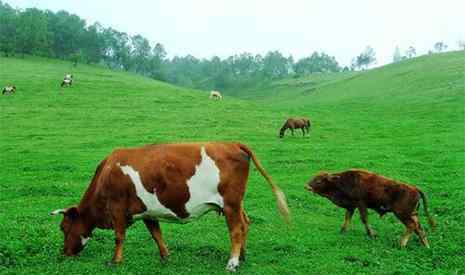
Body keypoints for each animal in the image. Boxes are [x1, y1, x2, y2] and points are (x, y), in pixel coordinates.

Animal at [51, 143, 290, 272]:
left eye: (63, 228)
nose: (64, 253)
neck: (107, 173)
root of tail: (231, 143)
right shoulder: (148, 212)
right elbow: (156, 234)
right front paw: (165, 257)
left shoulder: (117, 209)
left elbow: (119, 237)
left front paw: (115, 261)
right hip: (235, 204)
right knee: (246, 223)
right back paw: (242, 256)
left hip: (230, 204)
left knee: (236, 230)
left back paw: (232, 263)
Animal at [304, 170, 436, 250]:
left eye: (319, 180)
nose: (307, 186)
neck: (340, 181)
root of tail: (415, 188)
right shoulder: (351, 206)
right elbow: (347, 218)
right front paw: (342, 231)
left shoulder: (360, 204)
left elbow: (364, 219)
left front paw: (372, 234)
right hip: (411, 214)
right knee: (419, 227)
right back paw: (426, 245)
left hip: (402, 214)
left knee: (412, 226)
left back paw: (401, 244)